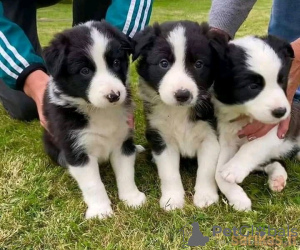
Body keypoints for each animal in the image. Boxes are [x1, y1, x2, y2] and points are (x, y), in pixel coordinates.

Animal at [42, 20, 146, 219]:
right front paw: (100, 210)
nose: (114, 95)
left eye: (116, 62)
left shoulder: (122, 141)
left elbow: (126, 173)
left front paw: (132, 198)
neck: (100, 111)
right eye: (84, 71)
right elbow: (93, 184)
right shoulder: (76, 150)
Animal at [134, 21, 220, 210]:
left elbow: (206, 170)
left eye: (199, 64)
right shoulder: (161, 137)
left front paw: (205, 197)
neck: (179, 111)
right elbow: (169, 172)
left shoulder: (211, 137)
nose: (182, 95)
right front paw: (172, 200)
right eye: (163, 63)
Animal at [211, 35, 300, 211]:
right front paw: (238, 198)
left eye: (281, 81)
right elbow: (218, 173)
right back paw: (277, 179)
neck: (243, 114)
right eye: (253, 86)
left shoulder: (274, 129)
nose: (281, 112)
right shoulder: (227, 140)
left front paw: (234, 169)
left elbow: (252, 147)